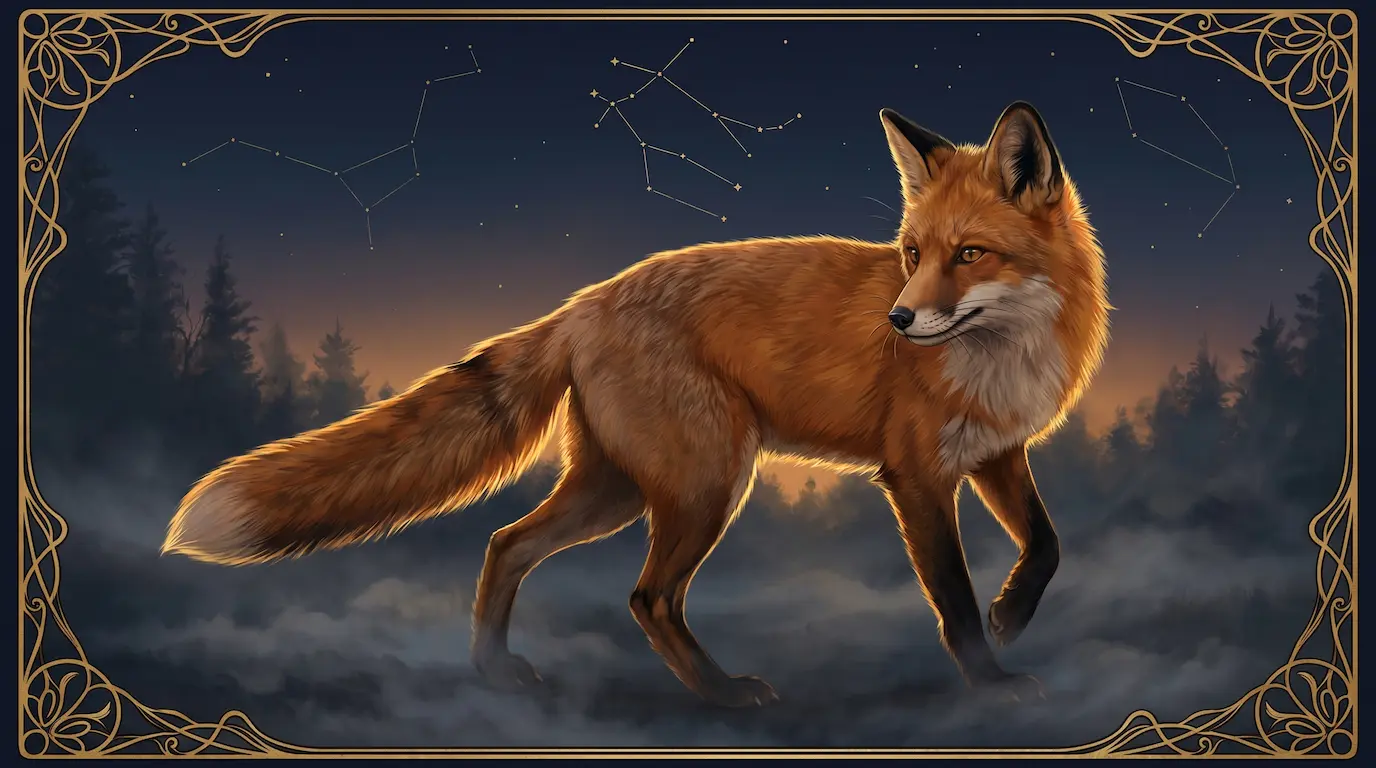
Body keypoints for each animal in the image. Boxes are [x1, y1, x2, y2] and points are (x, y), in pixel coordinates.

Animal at [164, 100, 1109, 708]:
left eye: (970, 254)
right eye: (912, 253)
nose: (899, 321)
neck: (1004, 356)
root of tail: (585, 300)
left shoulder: (996, 453)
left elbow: (1049, 545)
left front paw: (1013, 615)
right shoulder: (914, 477)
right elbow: (951, 598)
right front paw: (990, 681)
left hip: (618, 488)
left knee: (506, 544)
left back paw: (494, 674)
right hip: (705, 483)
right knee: (648, 597)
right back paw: (722, 697)